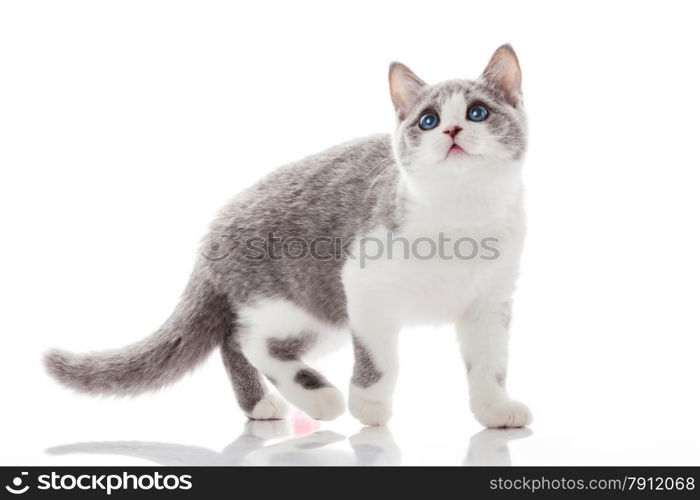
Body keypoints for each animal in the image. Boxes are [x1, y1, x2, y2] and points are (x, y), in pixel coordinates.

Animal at [46, 45, 532, 428]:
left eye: (477, 112)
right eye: (427, 120)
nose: (451, 130)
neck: (462, 212)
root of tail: (216, 227)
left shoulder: (491, 303)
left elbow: (490, 362)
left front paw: (494, 408)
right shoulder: (365, 289)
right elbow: (379, 360)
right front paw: (369, 406)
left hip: (321, 316)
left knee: (235, 340)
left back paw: (260, 405)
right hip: (302, 300)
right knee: (245, 340)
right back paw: (317, 397)